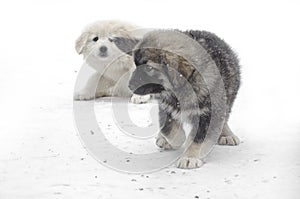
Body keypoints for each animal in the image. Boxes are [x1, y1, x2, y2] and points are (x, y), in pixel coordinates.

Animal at [116, 29, 240, 169]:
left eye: (149, 68)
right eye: (136, 65)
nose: (130, 85)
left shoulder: (209, 114)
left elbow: (198, 139)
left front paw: (189, 157)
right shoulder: (165, 108)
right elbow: (170, 129)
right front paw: (177, 141)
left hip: (228, 98)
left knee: (224, 118)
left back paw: (227, 134)